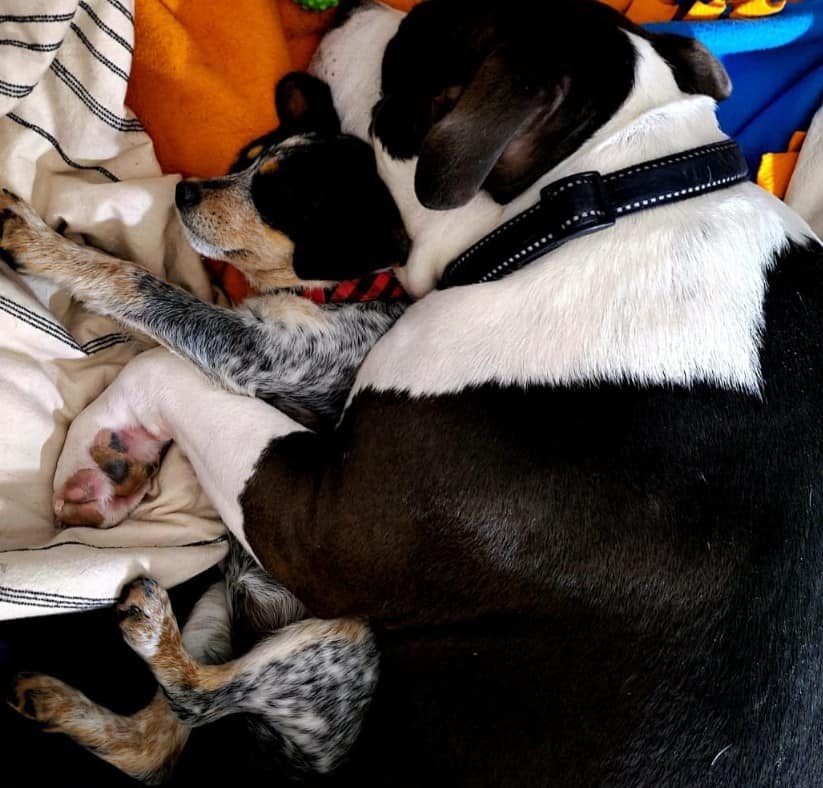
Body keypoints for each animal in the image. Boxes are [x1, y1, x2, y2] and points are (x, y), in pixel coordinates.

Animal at [8, 0, 823, 784]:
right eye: (244, 162)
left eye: (275, 196)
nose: (183, 188)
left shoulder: (279, 417)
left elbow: (150, 311)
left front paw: (53, 259)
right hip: (221, 610)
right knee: (158, 742)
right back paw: (60, 701)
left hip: (341, 637)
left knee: (194, 700)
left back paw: (151, 634)